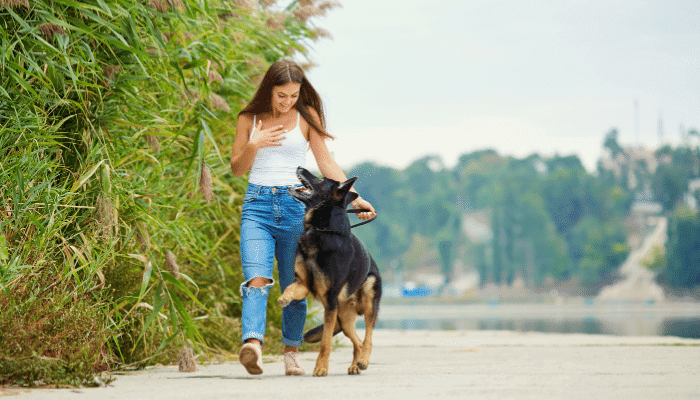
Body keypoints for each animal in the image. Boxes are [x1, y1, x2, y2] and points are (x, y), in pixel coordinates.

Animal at [278, 166, 382, 378]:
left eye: (320, 179)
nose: (299, 167)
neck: (321, 230)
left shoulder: (330, 302)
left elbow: (325, 342)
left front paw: (321, 368)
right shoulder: (303, 284)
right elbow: (290, 289)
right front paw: (284, 298)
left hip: (367, 299)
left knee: (368, 337)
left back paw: (364, 361)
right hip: (344, 320)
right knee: (357, 341)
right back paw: (355, 364)